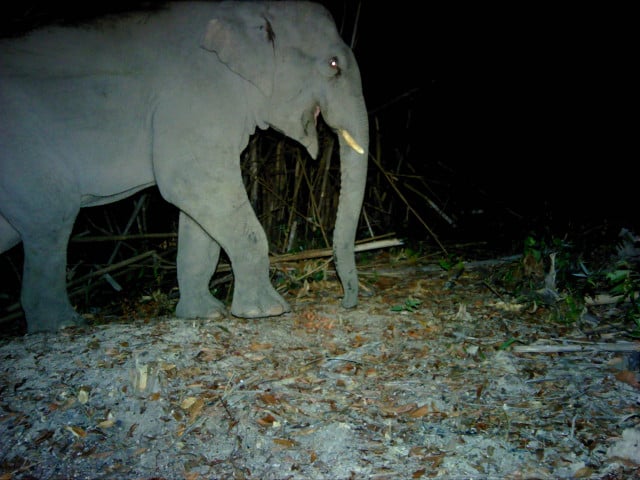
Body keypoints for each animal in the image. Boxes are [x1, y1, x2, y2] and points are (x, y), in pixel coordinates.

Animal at [0, 0, 368, 334]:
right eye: (333, 64)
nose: (346, 301)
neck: (247, 9)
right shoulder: (195, 99)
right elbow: (189, 183)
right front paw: (268, 311)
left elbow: (199, 215)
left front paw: (206, 314)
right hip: (22, 152)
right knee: (52, 215)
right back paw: (63, 325)